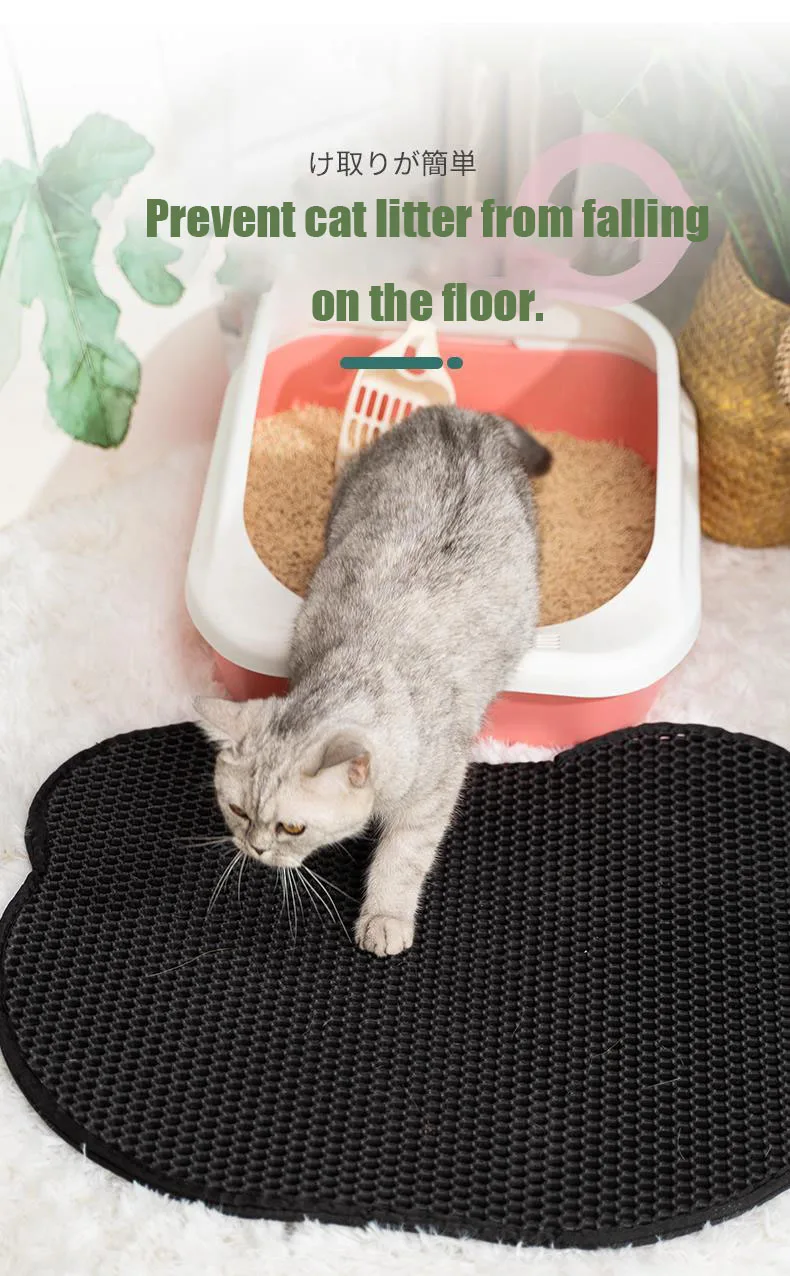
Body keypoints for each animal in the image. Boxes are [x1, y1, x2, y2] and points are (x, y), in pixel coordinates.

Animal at [197, 405, 550, 957]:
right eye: (235, 809)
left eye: (292, 827)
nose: (255, 848)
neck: (366, 661)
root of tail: (461, 416)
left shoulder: (431, 799)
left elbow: (401, 861)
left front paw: (385, 918)